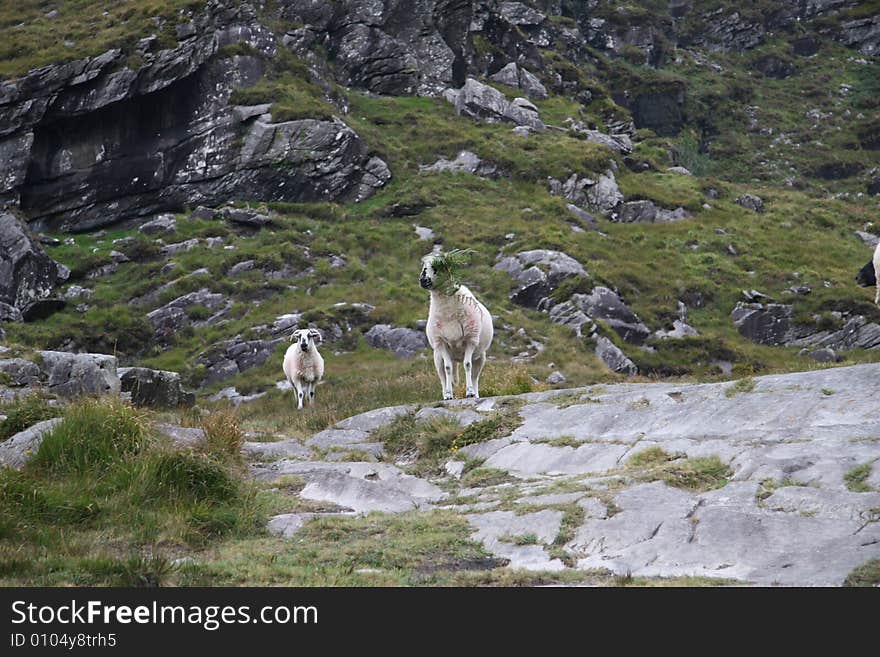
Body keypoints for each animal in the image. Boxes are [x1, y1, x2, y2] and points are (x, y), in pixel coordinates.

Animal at [422, 247, 496, 398]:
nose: (422, 280)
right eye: (423, 267)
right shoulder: (441, 342)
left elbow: (467, 365)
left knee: (475, 377)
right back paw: (445, 395)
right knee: (443, 376)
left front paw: (469, 392)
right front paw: (449, 395)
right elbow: (448, 368)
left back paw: (475, 393)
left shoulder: (470, 340)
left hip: (480, 357)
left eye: (436, 267)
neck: (448, 311)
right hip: (437, 357)